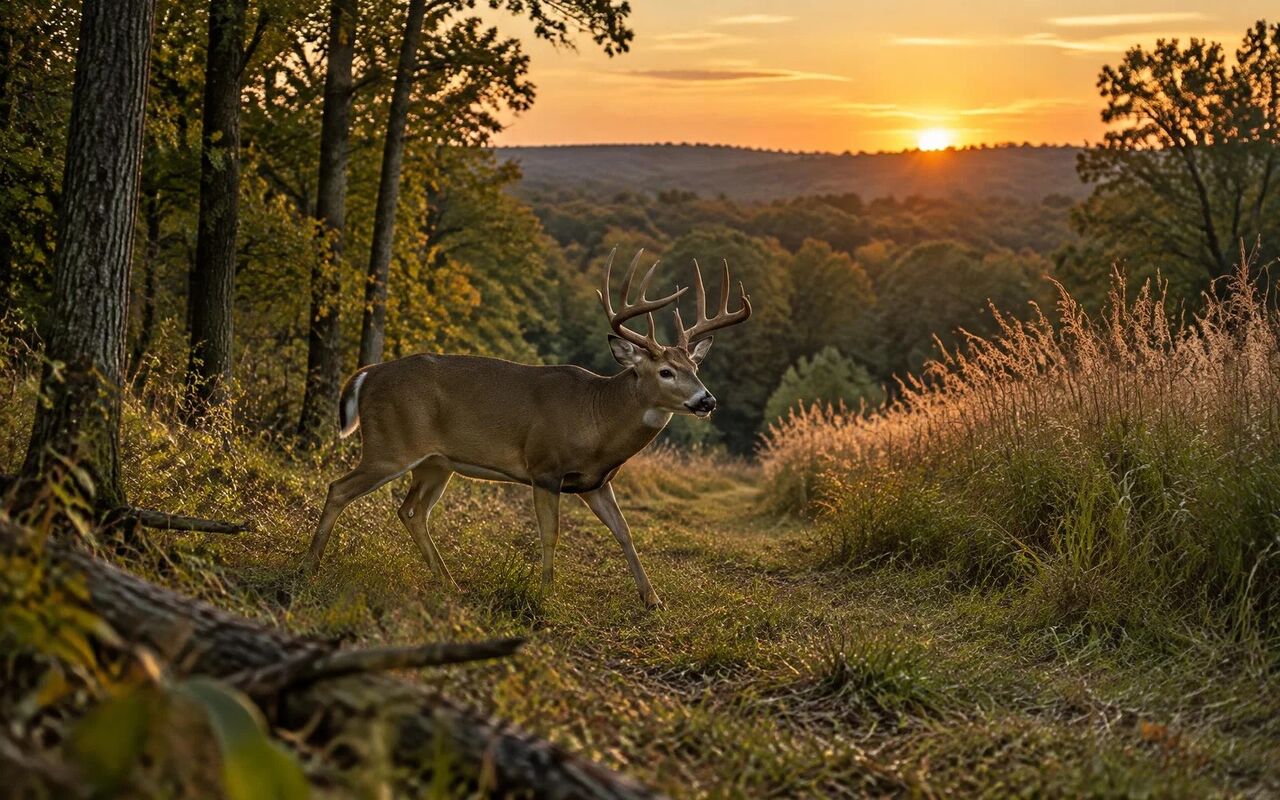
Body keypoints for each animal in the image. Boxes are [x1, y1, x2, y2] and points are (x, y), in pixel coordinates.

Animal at [301, 249, 751, 609]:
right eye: (665, 371)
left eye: (695, 368)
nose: (707, 401)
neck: (597, 419)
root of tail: (367, 374)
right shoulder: (545, 468)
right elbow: (551, 534)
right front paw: (546, 593)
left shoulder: (595, 482)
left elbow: (625, 533)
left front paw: (652, 599)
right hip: (390, 444)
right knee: (339, 488)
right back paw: (310, 565)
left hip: (435, 462)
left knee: (412, 511)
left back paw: (449, 583)